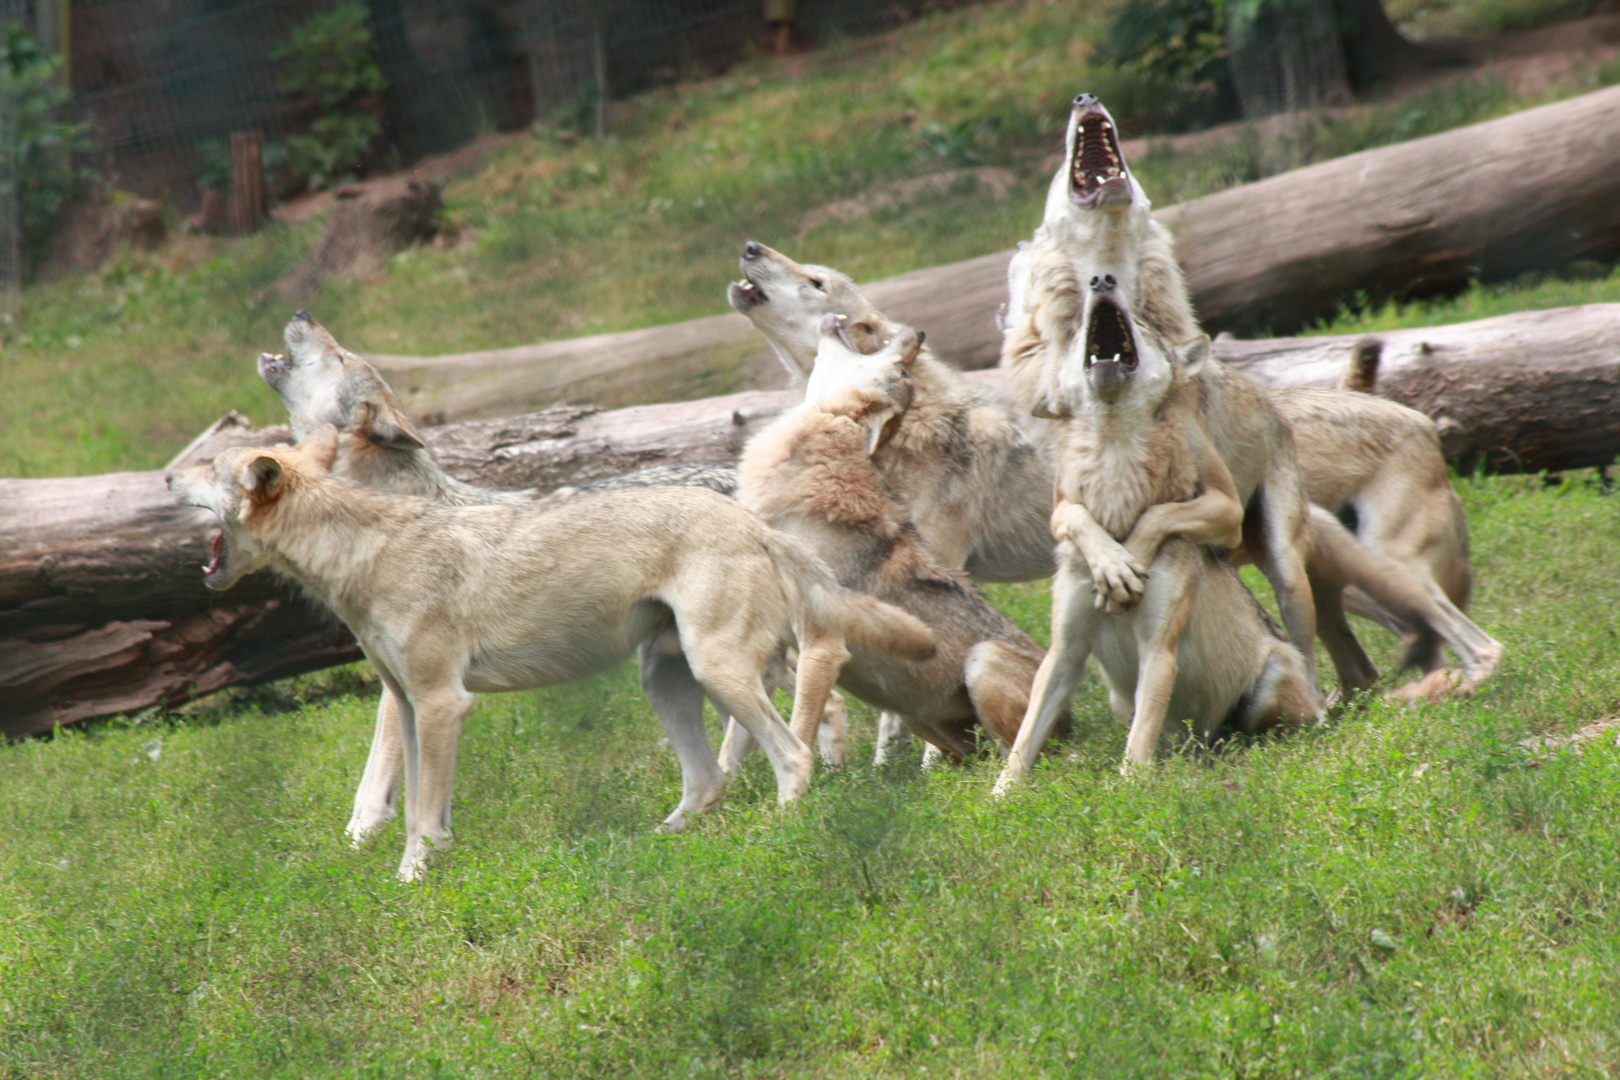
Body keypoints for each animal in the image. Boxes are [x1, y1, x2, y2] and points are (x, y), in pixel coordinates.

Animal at [169, 427, 933, 880]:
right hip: (668, 680)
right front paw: (423, 869)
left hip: (718, 672)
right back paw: (652, 844)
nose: (166, 479)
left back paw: (778, 840)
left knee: (792, 755)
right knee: (708, 780)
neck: (362, 554)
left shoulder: (443, 703)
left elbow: (417, 817)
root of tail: (752, 520)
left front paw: (412, 884)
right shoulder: (410, 707)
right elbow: (414, 807)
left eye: (208, 466)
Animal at [729, 317, 1056, 764]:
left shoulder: (822, 646)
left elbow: (799, 739)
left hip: (983, 662)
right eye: (904, 373)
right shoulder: (772, 655)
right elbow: (728, 752)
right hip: (917, 715)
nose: (918, 334)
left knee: (1021, 754)